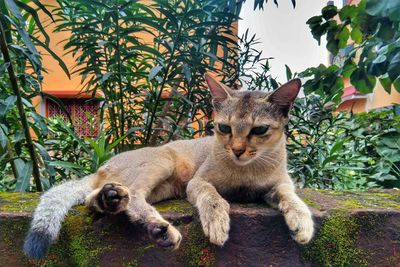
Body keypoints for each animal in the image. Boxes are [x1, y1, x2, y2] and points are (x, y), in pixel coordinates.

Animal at [23, 74, 314, 260]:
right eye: (224, 128)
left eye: (259, 130)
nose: (237, 150)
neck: (247, 170)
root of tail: (104, 166)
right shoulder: (198, 181)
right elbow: (213, 197)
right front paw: (217, 222)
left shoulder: (278, 184)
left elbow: (290, 196)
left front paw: (302, 221)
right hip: (162, 163)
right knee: (133, 196)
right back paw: (158, 228)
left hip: (162, 188)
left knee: (92, 199)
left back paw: (110, 199)